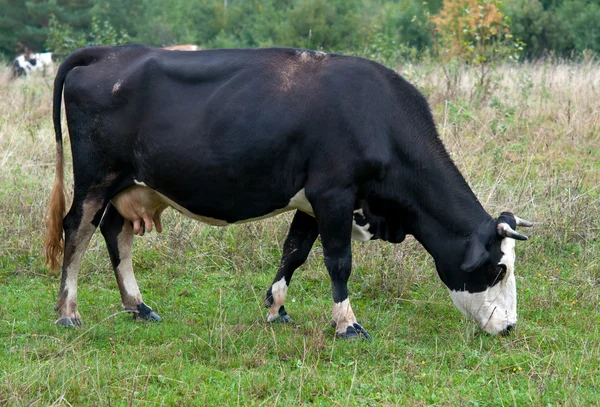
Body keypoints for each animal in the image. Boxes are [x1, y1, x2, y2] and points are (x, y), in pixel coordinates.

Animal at [47, 43, 532, 338]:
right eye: (498, 270)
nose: (510, 326)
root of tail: (108, 53)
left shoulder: (312, 201)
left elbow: (294, 252)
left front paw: (276, 308)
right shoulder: (333, 193)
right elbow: (338, 262)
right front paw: (347, 324)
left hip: (129, 186)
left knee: (115, 234)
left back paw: (138, 305)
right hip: (95, 179)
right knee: (77, 231)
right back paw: (68, 312)